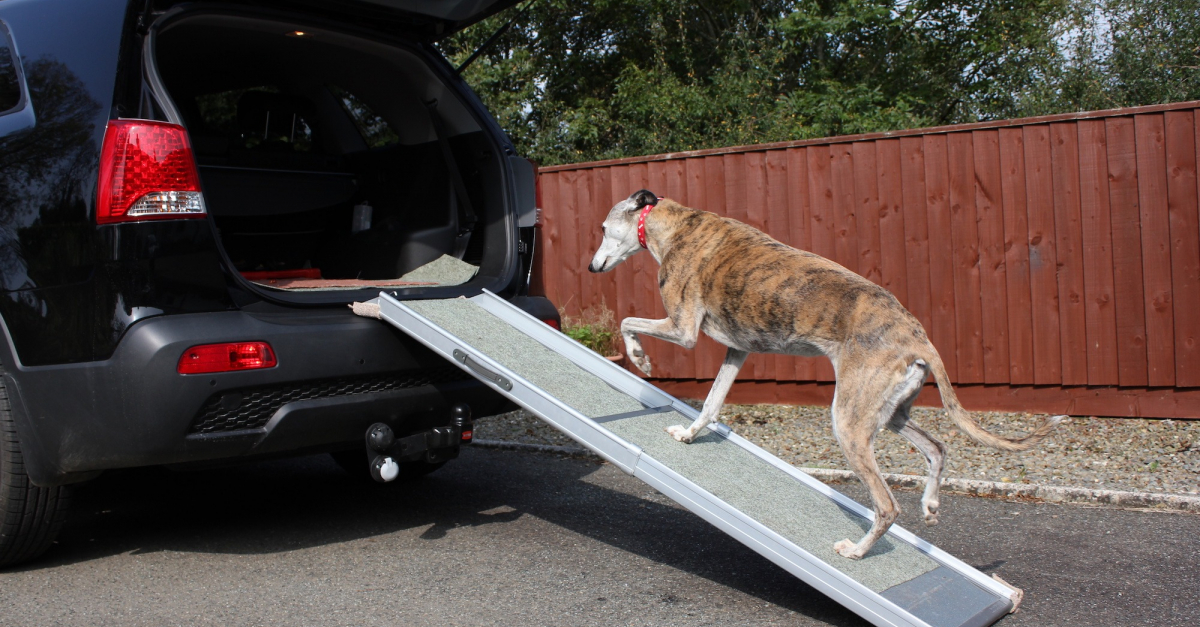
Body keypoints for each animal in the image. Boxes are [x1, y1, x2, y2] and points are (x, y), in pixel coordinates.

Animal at [588, 186, 1060, 557]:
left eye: (603, 228)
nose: (592, 268)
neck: (674, 223)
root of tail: (917, 337)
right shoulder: (737, 351)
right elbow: (711, 403)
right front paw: (688, 434)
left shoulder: (683, 329)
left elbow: (627, 321)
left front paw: (640, 358)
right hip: (889, 412)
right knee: (937, 447)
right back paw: (929, 505)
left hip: (848, 421)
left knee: (888, 505)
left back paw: (857, 550)